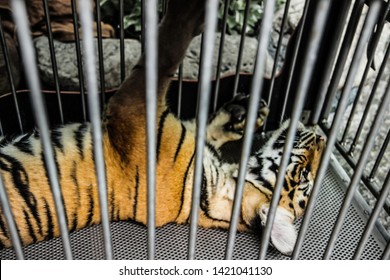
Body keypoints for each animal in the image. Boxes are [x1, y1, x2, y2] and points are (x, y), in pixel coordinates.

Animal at [0, 0, 324, 256]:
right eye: (305, 175)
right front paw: (245, 113)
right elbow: (204, 127)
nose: (322, 136)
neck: (222, 184)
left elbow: (165, 53)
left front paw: (192, 12)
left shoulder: (133, 112)